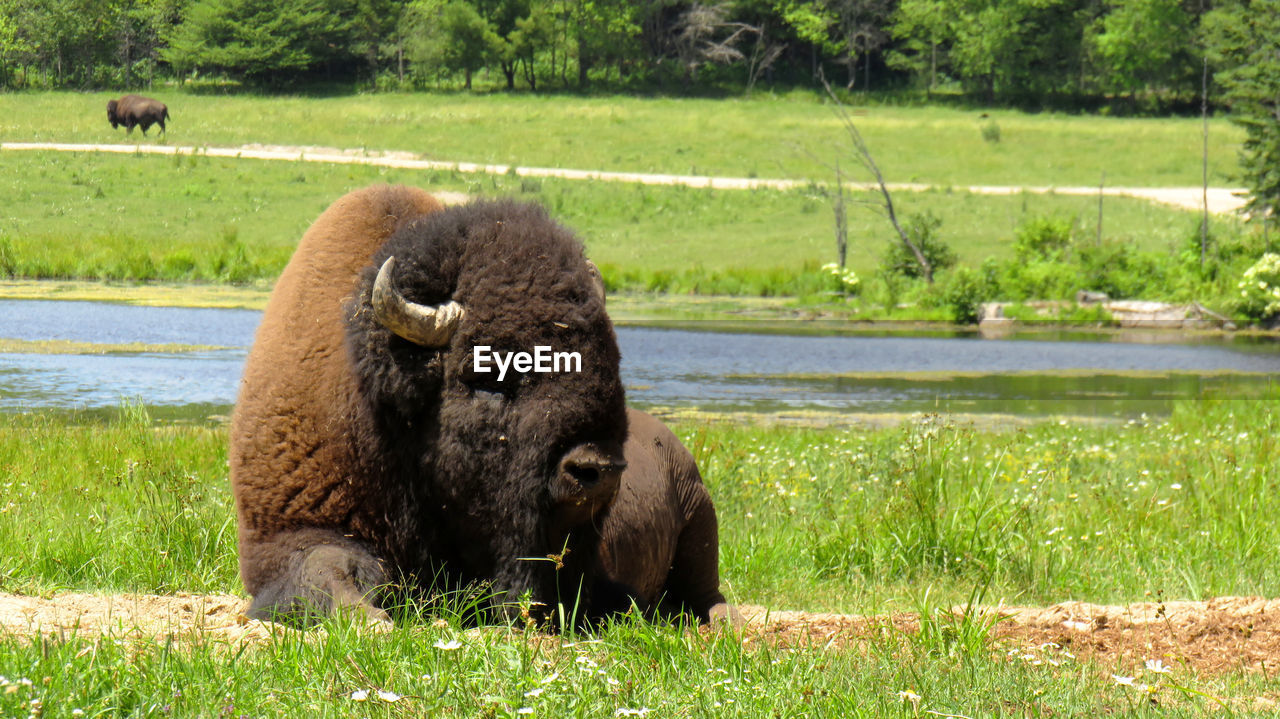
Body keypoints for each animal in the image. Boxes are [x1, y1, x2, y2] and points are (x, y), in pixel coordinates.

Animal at [230, 182, 732, 621]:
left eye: (609, 365)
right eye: (489, 376)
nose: (596, 469)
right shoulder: (289, 536)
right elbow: (327, 571)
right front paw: (374, 621)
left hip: (700, 524)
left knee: (709, 598)